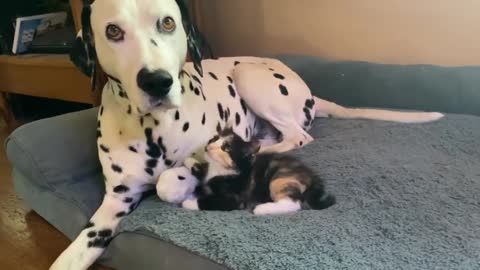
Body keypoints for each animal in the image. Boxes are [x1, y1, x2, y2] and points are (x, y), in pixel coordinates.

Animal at [182, 129, 336, 215]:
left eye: (226, 148)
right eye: (213, 139)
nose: (208, 147)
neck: (220, 169)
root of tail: (313, 176)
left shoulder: (236, 198)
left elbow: (212, 202)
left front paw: (189, 203)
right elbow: (201, 169)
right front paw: (189, 160)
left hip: (281, 179)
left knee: (293, 203)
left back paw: (262, 209)